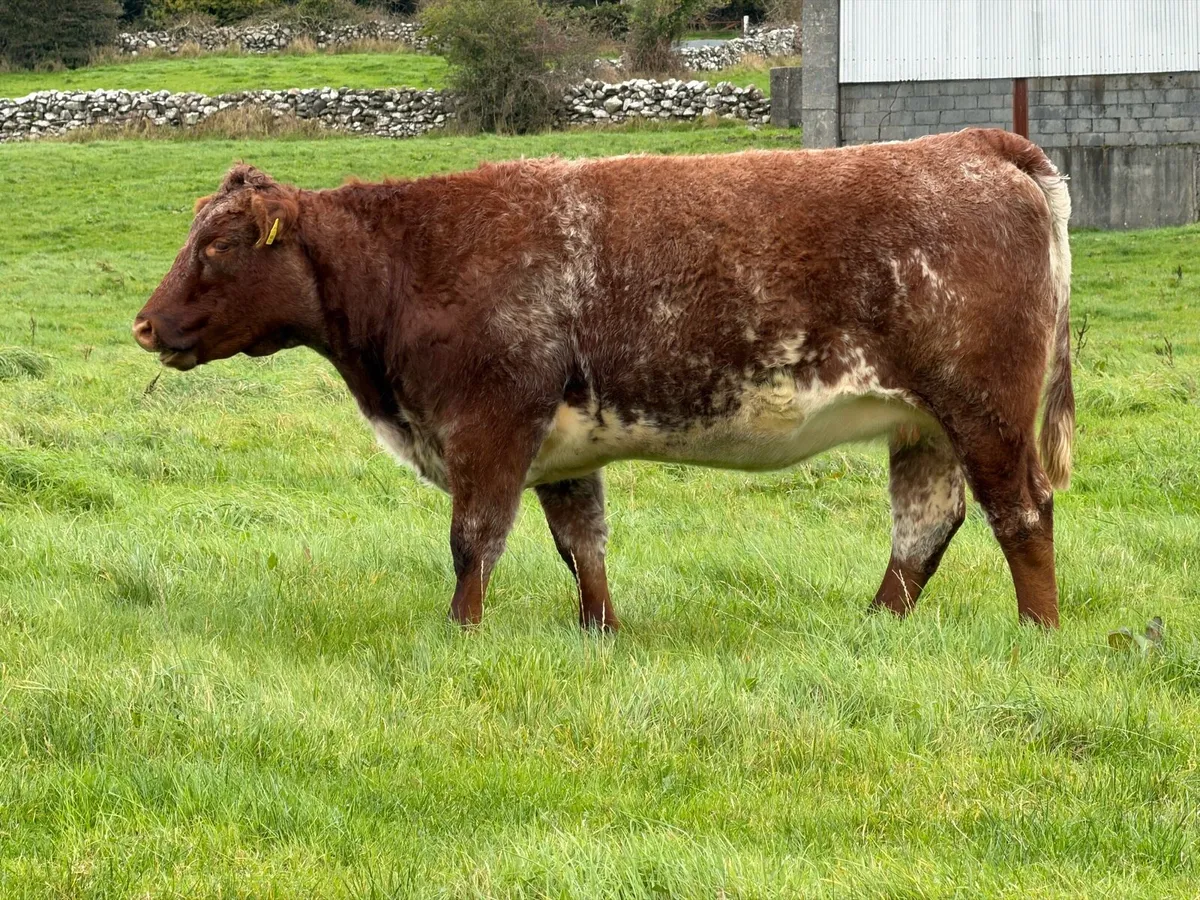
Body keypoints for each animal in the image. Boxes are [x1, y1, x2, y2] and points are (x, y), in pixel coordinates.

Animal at [133, 127, 1074, 631]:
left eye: (218, 247)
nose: (143, 324)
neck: (416, 263)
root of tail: (974, 143)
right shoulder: (560, 447)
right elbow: (579, 542)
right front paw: (602, 632)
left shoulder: (490, 423)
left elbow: (474, 539)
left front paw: (460, 634)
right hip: (923, 422)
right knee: (926, 525)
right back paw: (875, 627)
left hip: (984, 407)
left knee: (1021, 513)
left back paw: (1037, 633)